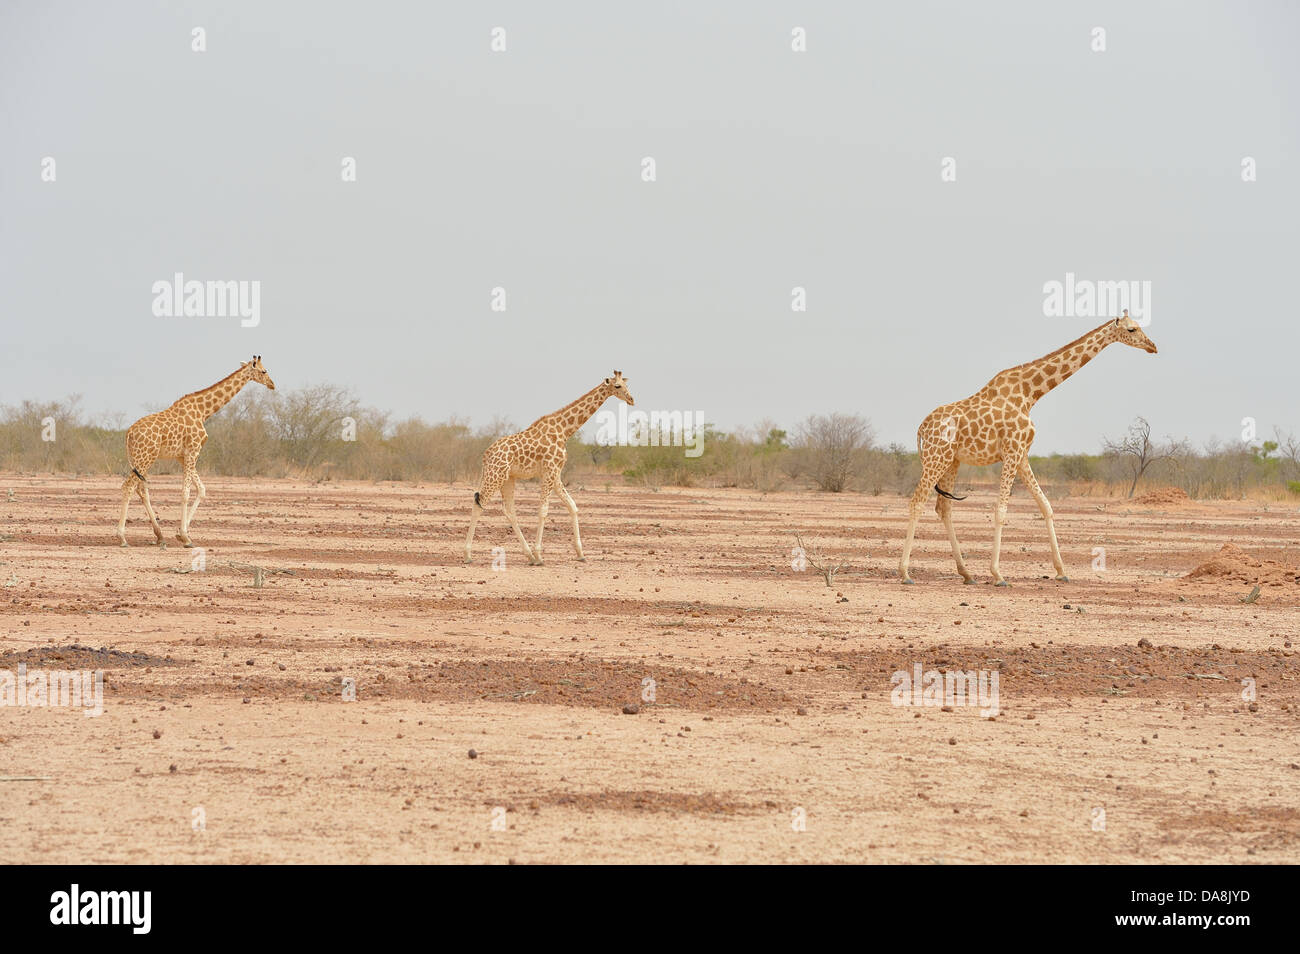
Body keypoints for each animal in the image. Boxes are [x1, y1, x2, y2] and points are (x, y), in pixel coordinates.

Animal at [115, 356, 275, 553]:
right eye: (263, 371)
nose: (272, 384)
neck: (203, 411)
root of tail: (128, 433)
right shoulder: (193, 451)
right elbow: (186, 492)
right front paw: (185, 537)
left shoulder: (183, 457)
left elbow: (201, 489)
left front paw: (181, 535)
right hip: (144, 458)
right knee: (128, 487)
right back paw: (123, 538)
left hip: (141, 459)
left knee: (141, 489)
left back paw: (160, 537)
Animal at [465, 371, 637, 566]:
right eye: (617, 386)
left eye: (626, 384)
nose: (631, 399)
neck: (564, 430)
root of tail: (485, 456)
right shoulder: (550, 470)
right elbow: (543, 511)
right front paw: (540, 555)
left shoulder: (556, 473)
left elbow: (572, 506)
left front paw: (580, 553)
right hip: (495, 475)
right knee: (479, 503)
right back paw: (468, 555)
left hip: (508, 478)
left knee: (509, 511)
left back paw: (528, 556)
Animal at [899, 314, 1164, 582]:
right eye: (1132, 329)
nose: (1152, 346)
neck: (1030, 394)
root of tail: (921, 428)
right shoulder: (1012, 451)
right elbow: (1001, 510)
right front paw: (998, 574)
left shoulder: (1022, 455)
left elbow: (1046, 506)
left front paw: (1061, 571)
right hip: (937, 457)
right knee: (917, 502)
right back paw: (905, 572)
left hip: (952, 460)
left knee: (944, 508)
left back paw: (966, 573)